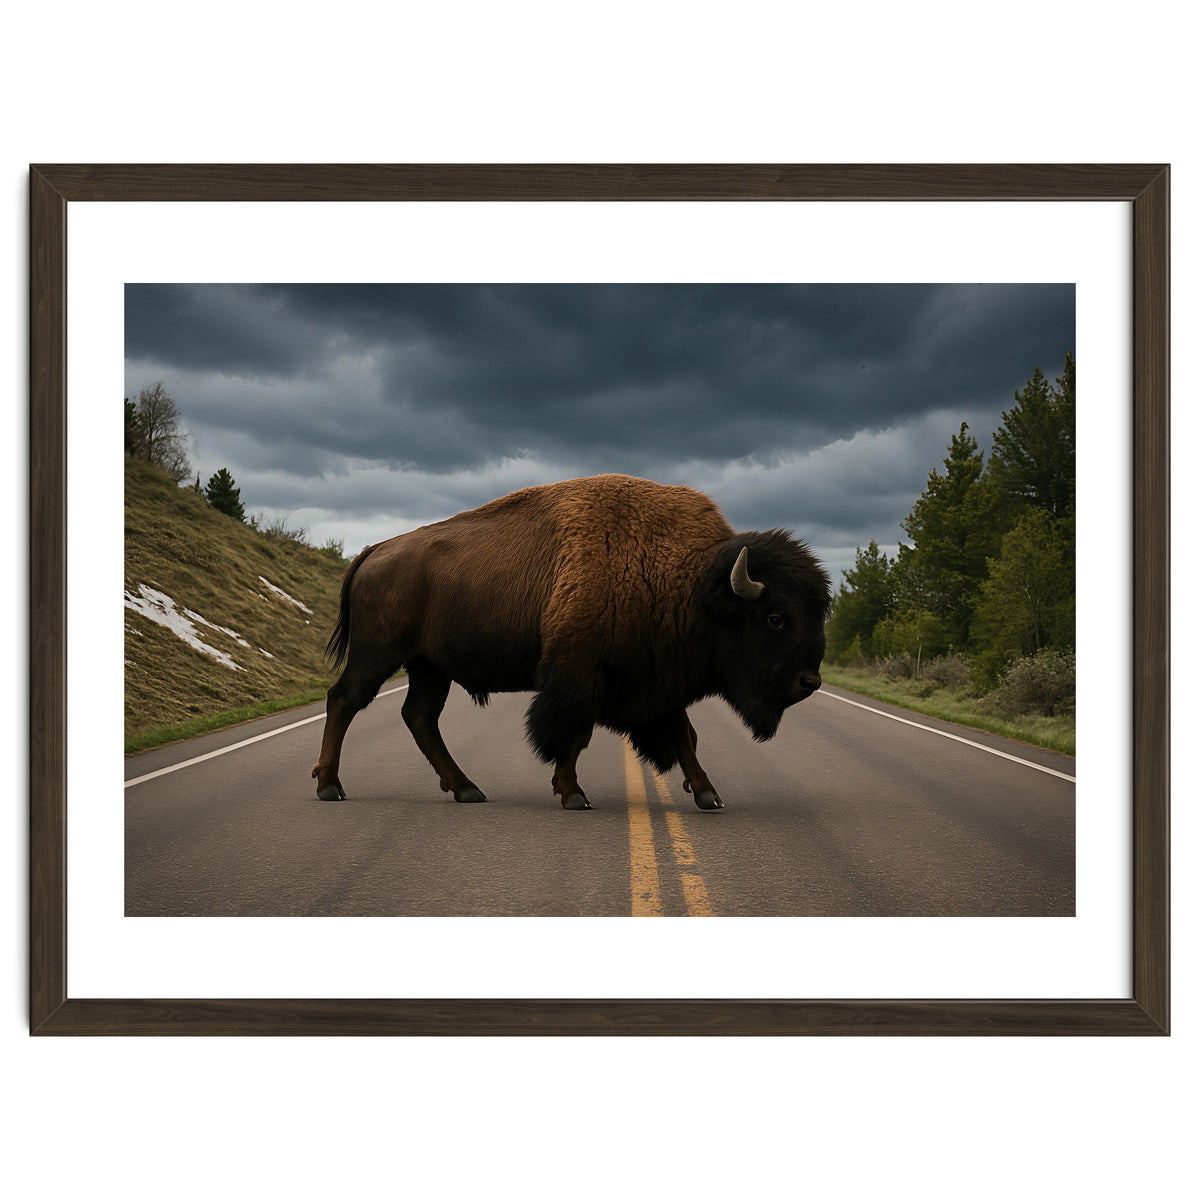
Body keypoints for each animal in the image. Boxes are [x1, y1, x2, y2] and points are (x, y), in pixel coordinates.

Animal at [312, 474, 832, 810]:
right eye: (776, 619)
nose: (809, 681)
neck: (690, 581)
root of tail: (375, 549)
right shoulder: (581, 674)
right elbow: (574, 733)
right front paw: (573, 794)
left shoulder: (655, 681)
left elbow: (683, 734)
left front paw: (708, 794)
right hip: (379, 654)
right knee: (344, 700)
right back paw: (330, 787)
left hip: (429, 667)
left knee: (419, 716)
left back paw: (466, 789)